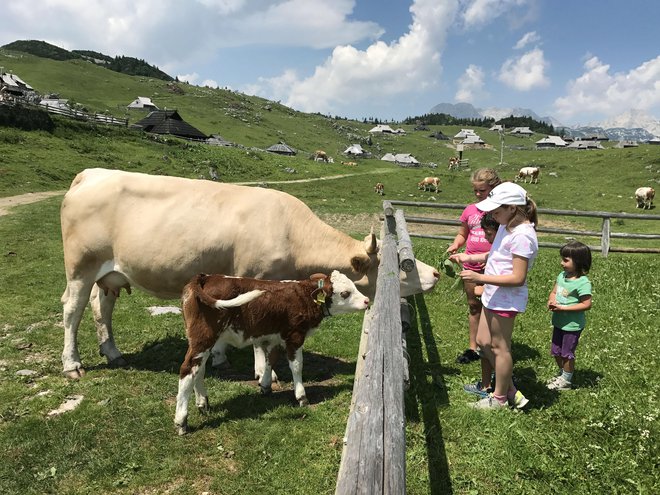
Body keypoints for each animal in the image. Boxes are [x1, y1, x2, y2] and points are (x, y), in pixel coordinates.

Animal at [174, 270, 372, 436]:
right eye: (345, 293)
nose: (367, 300)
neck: (303, 297)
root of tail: (204, 277)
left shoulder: (274, 336)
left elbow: (270, 360)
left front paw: (265, 385)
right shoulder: (295, 336)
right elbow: (296, 365)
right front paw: (301, 397)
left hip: (202, 341)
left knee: (198, 370)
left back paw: (203, 403)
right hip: (203, 338)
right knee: (187, 370)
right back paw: (181, 421)